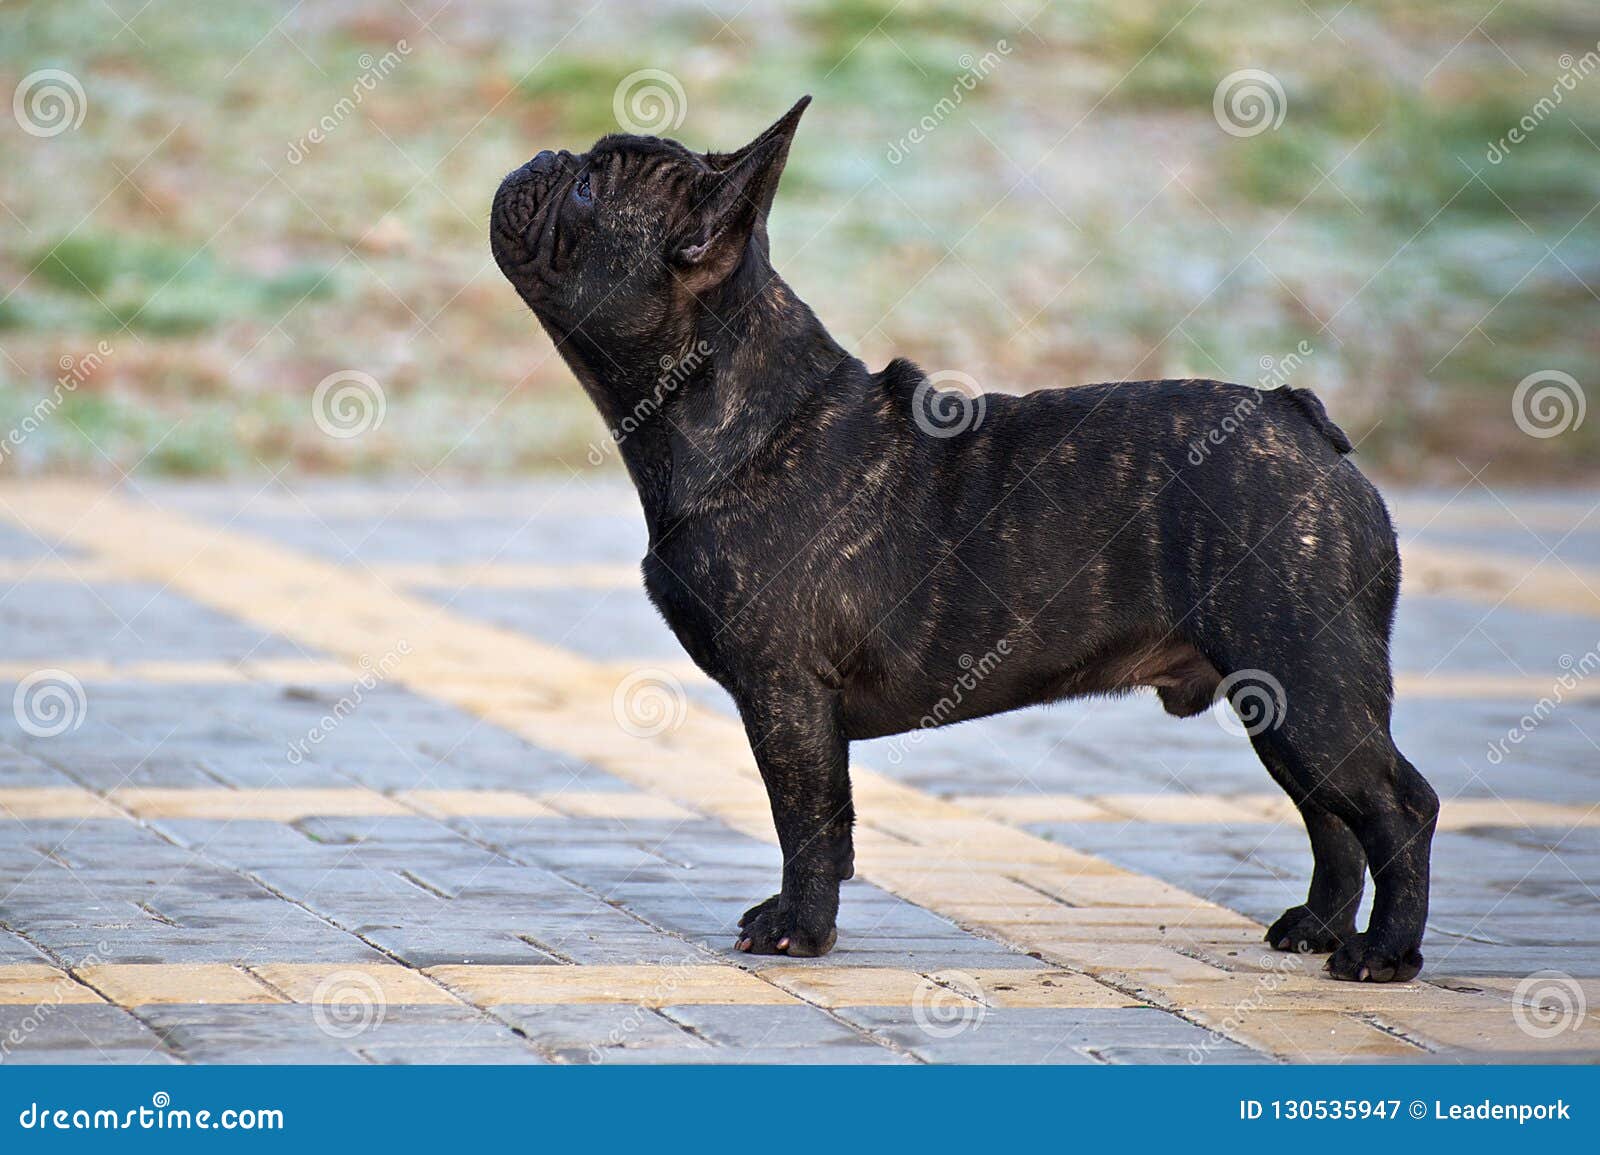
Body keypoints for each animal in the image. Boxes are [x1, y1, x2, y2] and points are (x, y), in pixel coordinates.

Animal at [489, 96, 1440, 979]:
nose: (541, 158)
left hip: (1308, 683)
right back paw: (1317, 928)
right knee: (1330, 816)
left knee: (1398, 806)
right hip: (1277, 697)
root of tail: (1301, 421)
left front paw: (800, 928)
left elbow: (807, 819)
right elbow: (828, 820)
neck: (746, 414)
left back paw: (1382, 953)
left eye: (588, 188)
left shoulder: (785, 690)